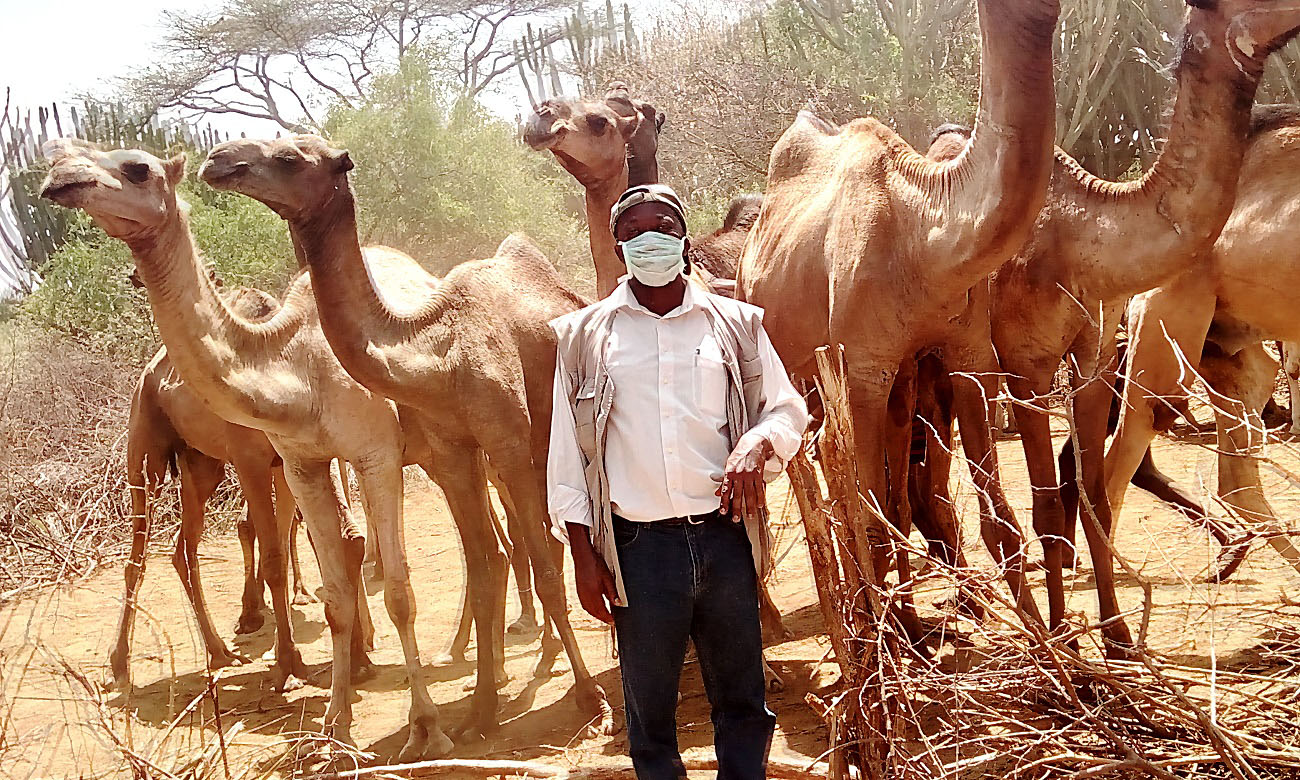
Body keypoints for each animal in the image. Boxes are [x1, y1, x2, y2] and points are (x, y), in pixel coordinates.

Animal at [39, 141, 457, 759]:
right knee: (154, 553)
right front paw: (332, 717)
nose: (59, 177)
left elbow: (391, 584)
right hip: (159, 457)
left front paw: (424, 725)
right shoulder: (296, 460)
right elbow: (324, 577)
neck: (297, 367)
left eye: (137, 168)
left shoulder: (366, 455)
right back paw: (142, 661)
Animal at [197, 133, 613, 738]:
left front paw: (589, 699)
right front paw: (479, 710)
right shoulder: (454, 449)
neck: (440, 355)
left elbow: (542, 564)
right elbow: (484, 566)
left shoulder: (508, 441)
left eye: (290, 157)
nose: (218, 160)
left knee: (561, 540)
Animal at [738, 0, 1060, 637]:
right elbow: (868, 517)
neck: (920, 234)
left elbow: (996, 521)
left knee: (894, 496)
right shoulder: (860, 369)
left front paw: (1052, 652)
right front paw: (889, 650)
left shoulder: (966, 352)